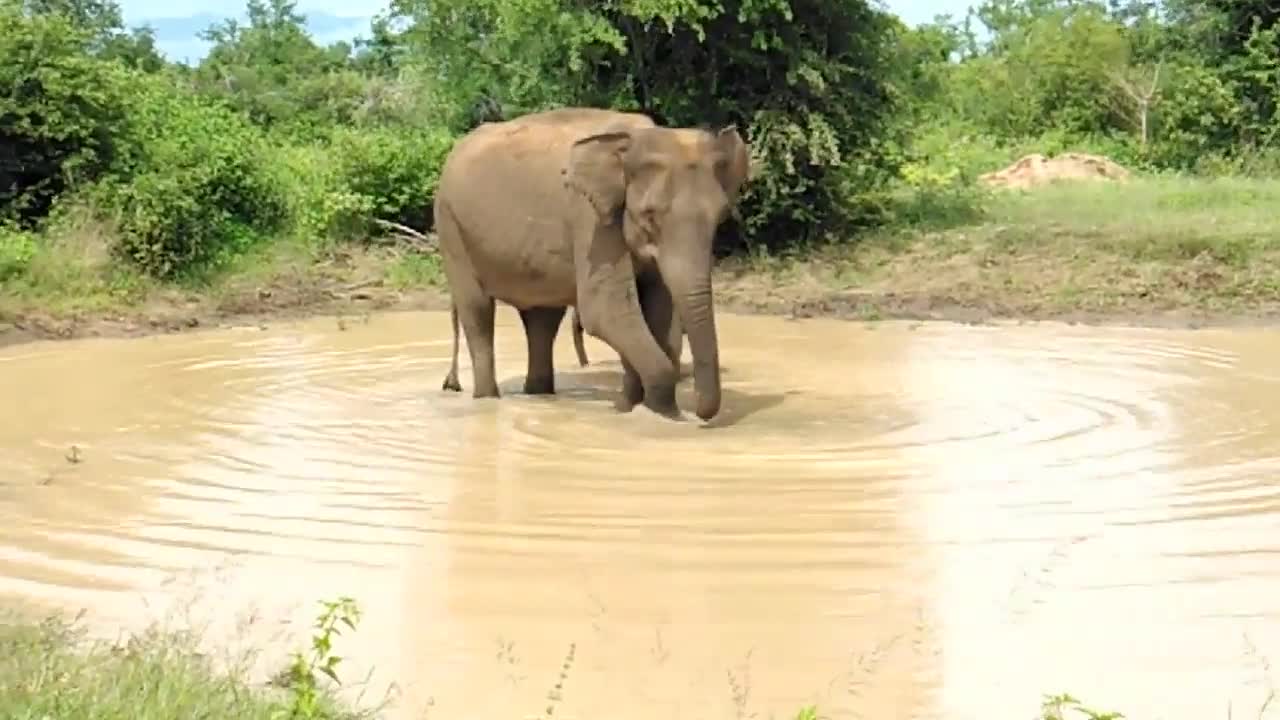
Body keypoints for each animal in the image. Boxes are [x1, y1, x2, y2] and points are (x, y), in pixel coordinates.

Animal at [435, 106, 747, 420]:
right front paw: (662, 415)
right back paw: (488, 399)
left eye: (721, 217)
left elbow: (656, 311)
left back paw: (539, 394)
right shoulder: (589, 216)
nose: (700, 413)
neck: (635, 140)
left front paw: (633, 407)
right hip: (450, 227)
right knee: (477, 310)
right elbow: (606, 310)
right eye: (649, 216)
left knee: (543, 318)